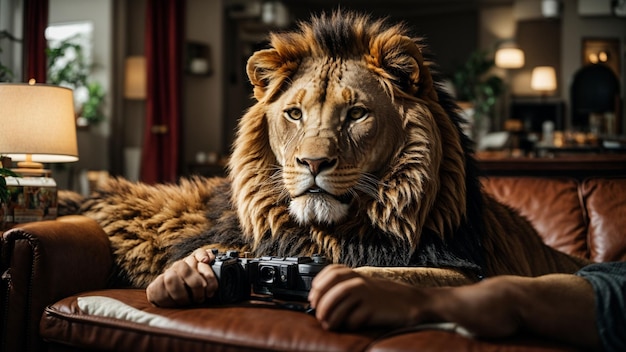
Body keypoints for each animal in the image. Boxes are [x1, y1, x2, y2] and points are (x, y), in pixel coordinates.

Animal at [58, 11, 584, 290]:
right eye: (294, 114)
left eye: (356, 114)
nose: (312, 163)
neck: (327, 235)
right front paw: (184, 275)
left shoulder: (463, 271)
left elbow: (398, 273)